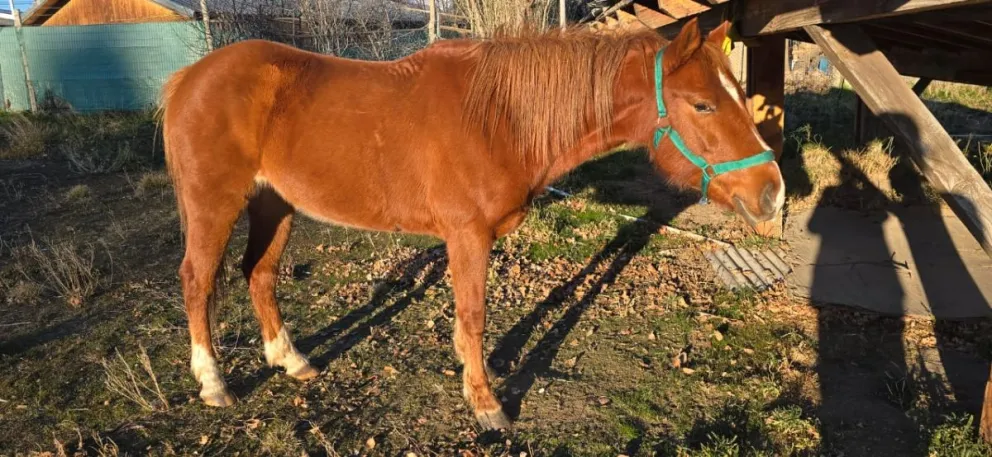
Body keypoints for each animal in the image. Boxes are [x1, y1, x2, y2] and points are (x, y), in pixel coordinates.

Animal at [159, 17, 784, 430]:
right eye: (702, 105)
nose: (772, 192)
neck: (502, 117)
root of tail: (188, 77)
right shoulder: (467, 236)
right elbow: (475, 317)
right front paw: (486, 404)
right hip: (216, 204)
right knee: (198, 281)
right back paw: (213, 383)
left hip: (276, 204)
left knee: (259, 274)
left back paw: (291, 361)